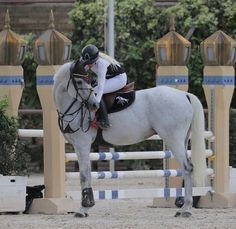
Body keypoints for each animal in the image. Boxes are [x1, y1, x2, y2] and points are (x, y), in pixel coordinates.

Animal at [53, 62, 206, 218]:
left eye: (87, 81)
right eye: (79, 81)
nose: (94, 105)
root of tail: (184, 95)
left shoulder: (82, 145)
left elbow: (84, 175)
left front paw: (84, 208)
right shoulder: (79, 146)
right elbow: (86, 175)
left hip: (173, 139)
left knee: (187, 167)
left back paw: (186, 208)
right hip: (182, 140)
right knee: (187, 168)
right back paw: (183, 208)